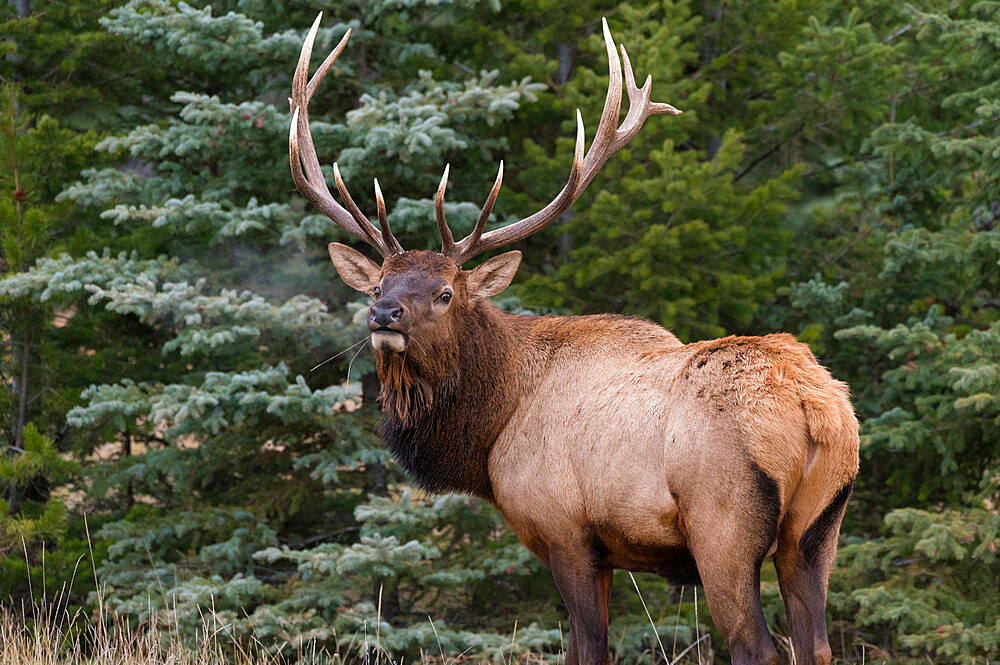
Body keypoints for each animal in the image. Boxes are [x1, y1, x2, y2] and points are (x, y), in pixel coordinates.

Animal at [288, 14, 860, 664]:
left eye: (446, 291)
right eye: (379, 282)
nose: (382, 315)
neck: (491, 428)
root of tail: (814, 408)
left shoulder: (565, 533)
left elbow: (587, 647)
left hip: (724, 526)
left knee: (758, 647)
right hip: (818, 529)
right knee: (817, 644)